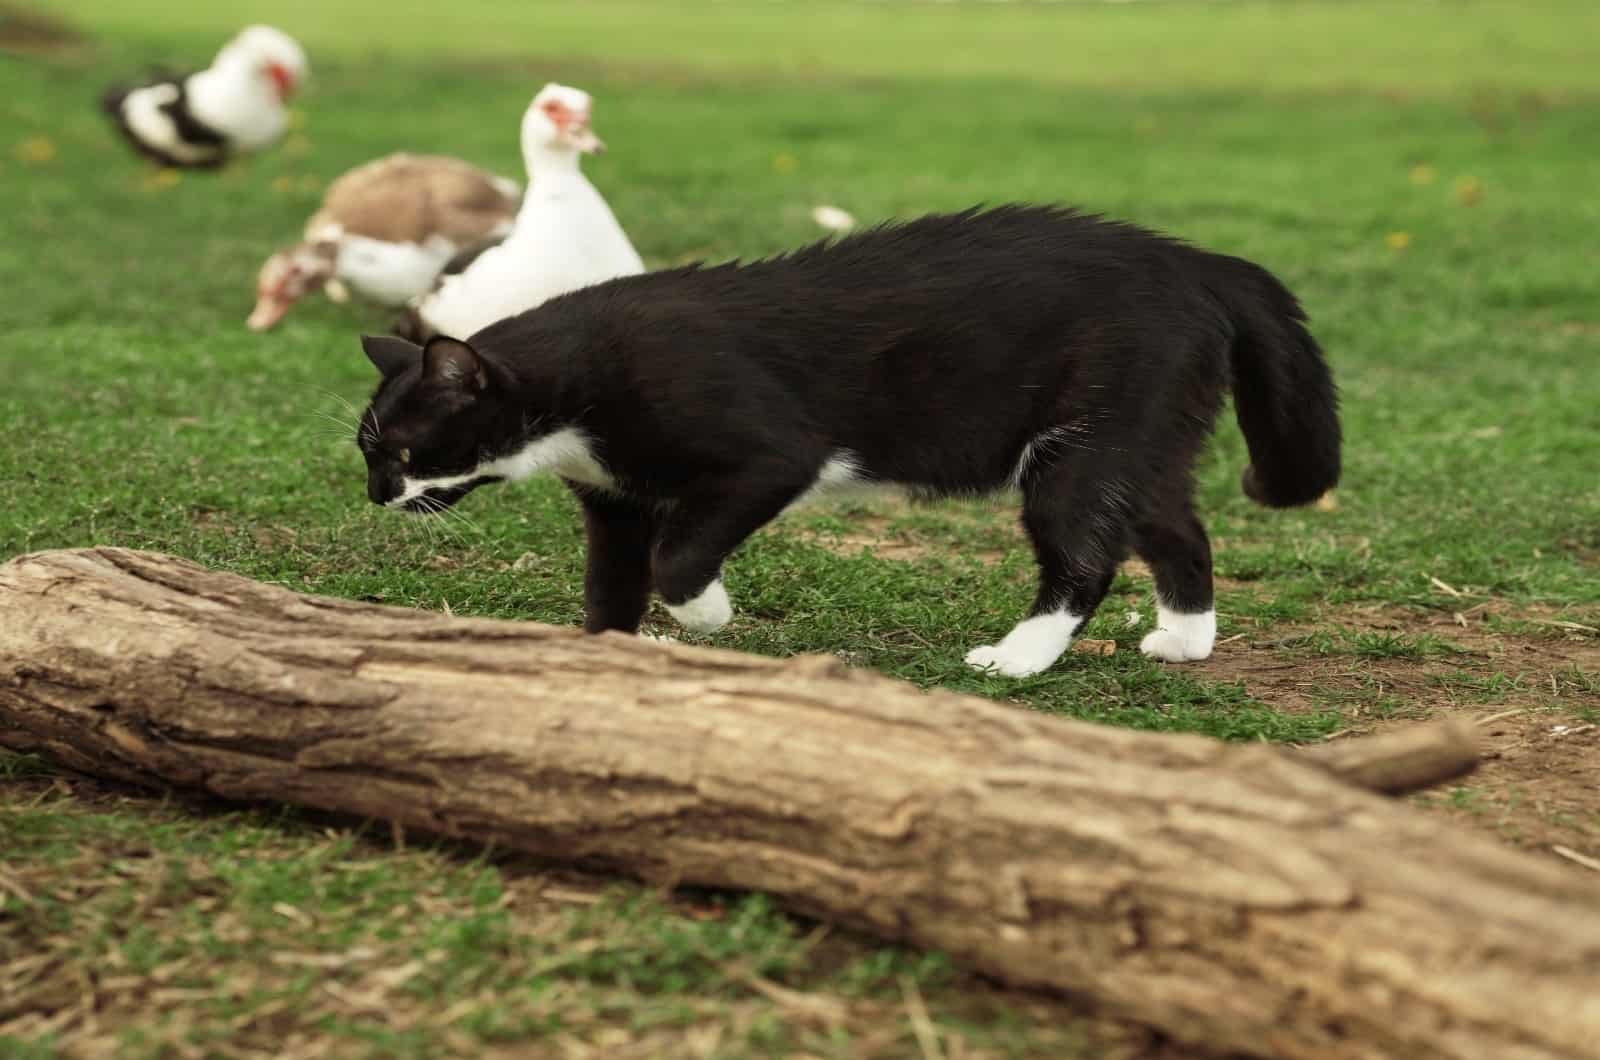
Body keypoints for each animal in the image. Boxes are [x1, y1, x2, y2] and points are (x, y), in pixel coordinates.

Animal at [350, 203, 1337, 675]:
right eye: (367, 450)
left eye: (400, 452)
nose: (371, 495)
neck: (574, 392)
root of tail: (1201, 262)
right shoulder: (614, 498)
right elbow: (613, 581)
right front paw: (605, 660)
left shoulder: (769, 456)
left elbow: (678, 557)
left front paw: (707, 616)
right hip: (1140, 434)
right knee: (1178, 528)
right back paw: (1185, 641)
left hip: (1081, 442)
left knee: (1085, 556)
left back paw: (1020, 658)